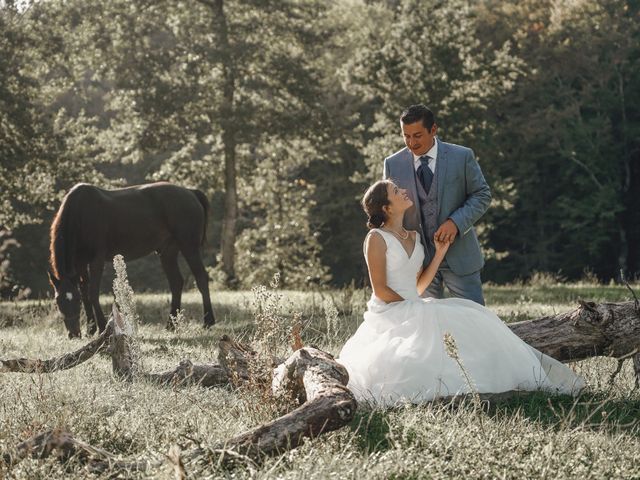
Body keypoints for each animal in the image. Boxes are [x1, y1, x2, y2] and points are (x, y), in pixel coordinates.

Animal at [47, 183, 216, 338]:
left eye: (76, 302)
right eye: (58, 302)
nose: (74, 334)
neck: (80, 214)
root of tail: (191, 192)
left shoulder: (97, 260)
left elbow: (92, 293)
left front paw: (101, 328)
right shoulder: (81, 262)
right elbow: (84, 292)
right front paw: (91, 329)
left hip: (189, 247)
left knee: (201, 278)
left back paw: (208, 322)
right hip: (168, 252)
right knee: (176, 283)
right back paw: (170, 325)